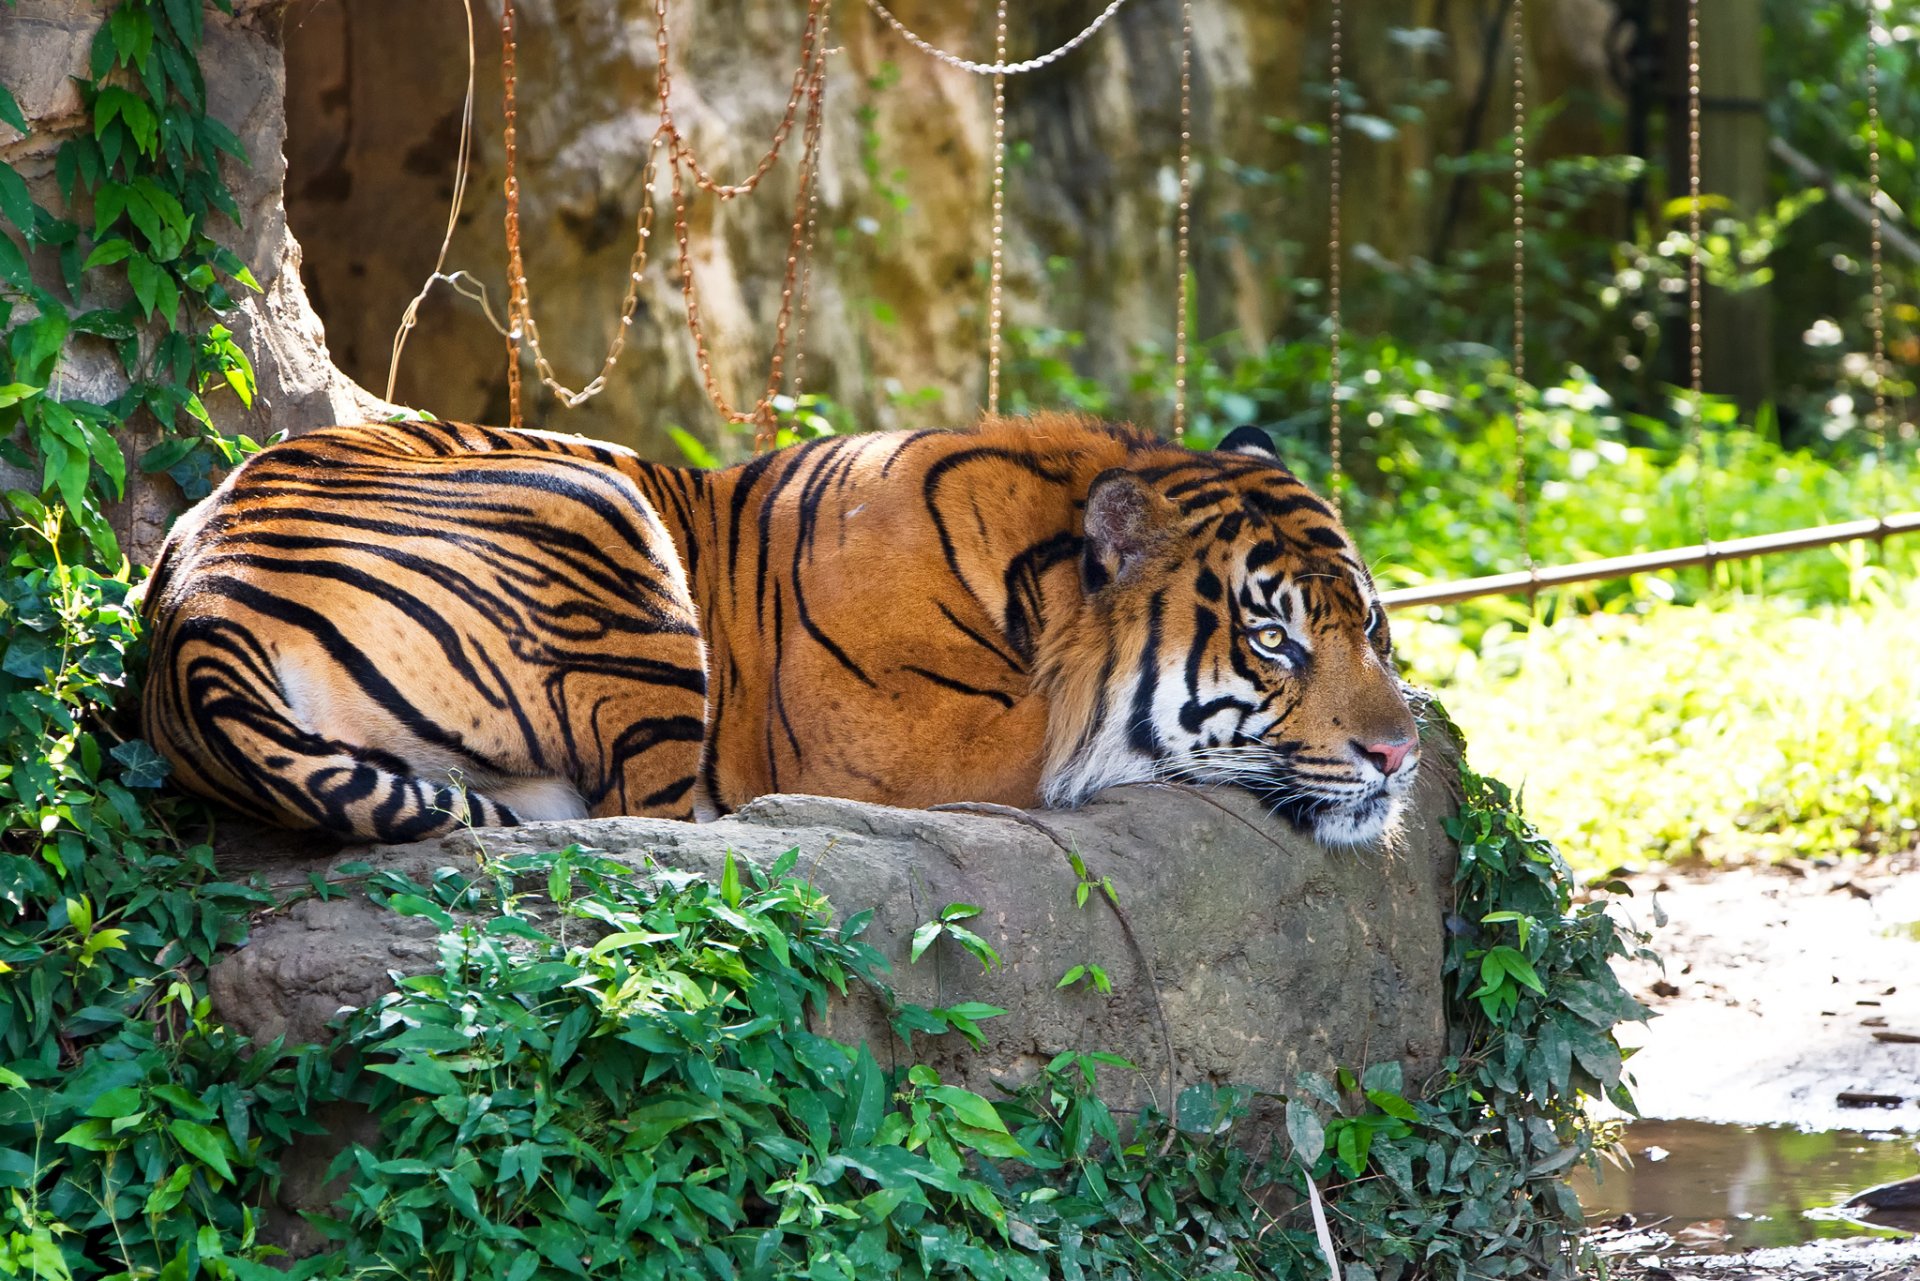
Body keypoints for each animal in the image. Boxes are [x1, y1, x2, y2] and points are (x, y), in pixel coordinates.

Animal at [142, 416, 1420, 845]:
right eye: (1273, 641)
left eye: (1375, 628)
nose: (1401, 755)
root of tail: (189, 612)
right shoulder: (933, 760)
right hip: (603, 530)